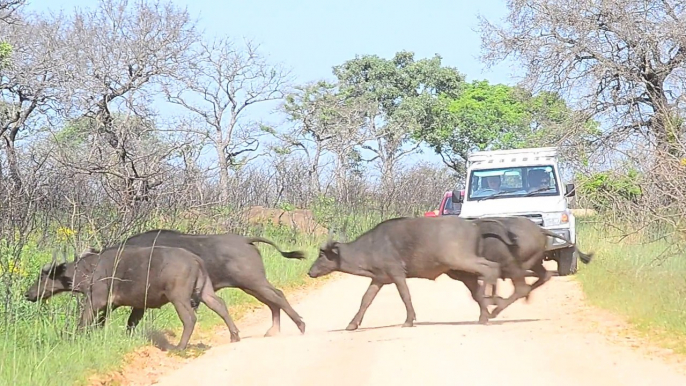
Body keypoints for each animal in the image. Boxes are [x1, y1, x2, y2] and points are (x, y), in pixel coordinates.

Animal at [25, 246, 242, 352]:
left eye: (43, 276)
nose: (28, 293)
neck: (89, 270)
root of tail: (195, 259)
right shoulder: (119, 305)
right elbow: (118, 323)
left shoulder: (95, 301)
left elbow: (83, 322)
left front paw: (74, 339)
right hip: (205, 291)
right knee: (220, 305)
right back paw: (234, 336)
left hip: (178, 297)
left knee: (189, 318)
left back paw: (179, 347)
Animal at [121, 231, 310, 336]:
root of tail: (245, 240)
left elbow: (133, 319)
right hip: (250, 287)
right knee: (272, 301)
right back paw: (273, 330)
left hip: (255, 282)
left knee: (278, 295)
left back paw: (300, 325)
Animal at [306, 216, 506, 330]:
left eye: (321, 255)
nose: (310, 272)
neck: (370, 247)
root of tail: (473, 225)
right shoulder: (378, 279)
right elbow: (366, 300)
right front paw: (352, 324)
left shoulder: (397, 274)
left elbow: (405, 296)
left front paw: (409, 320)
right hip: (459, 271)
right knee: (477, 288)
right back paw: (484, 315)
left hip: (461, 260)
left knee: (491, 267)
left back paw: (492, 302)